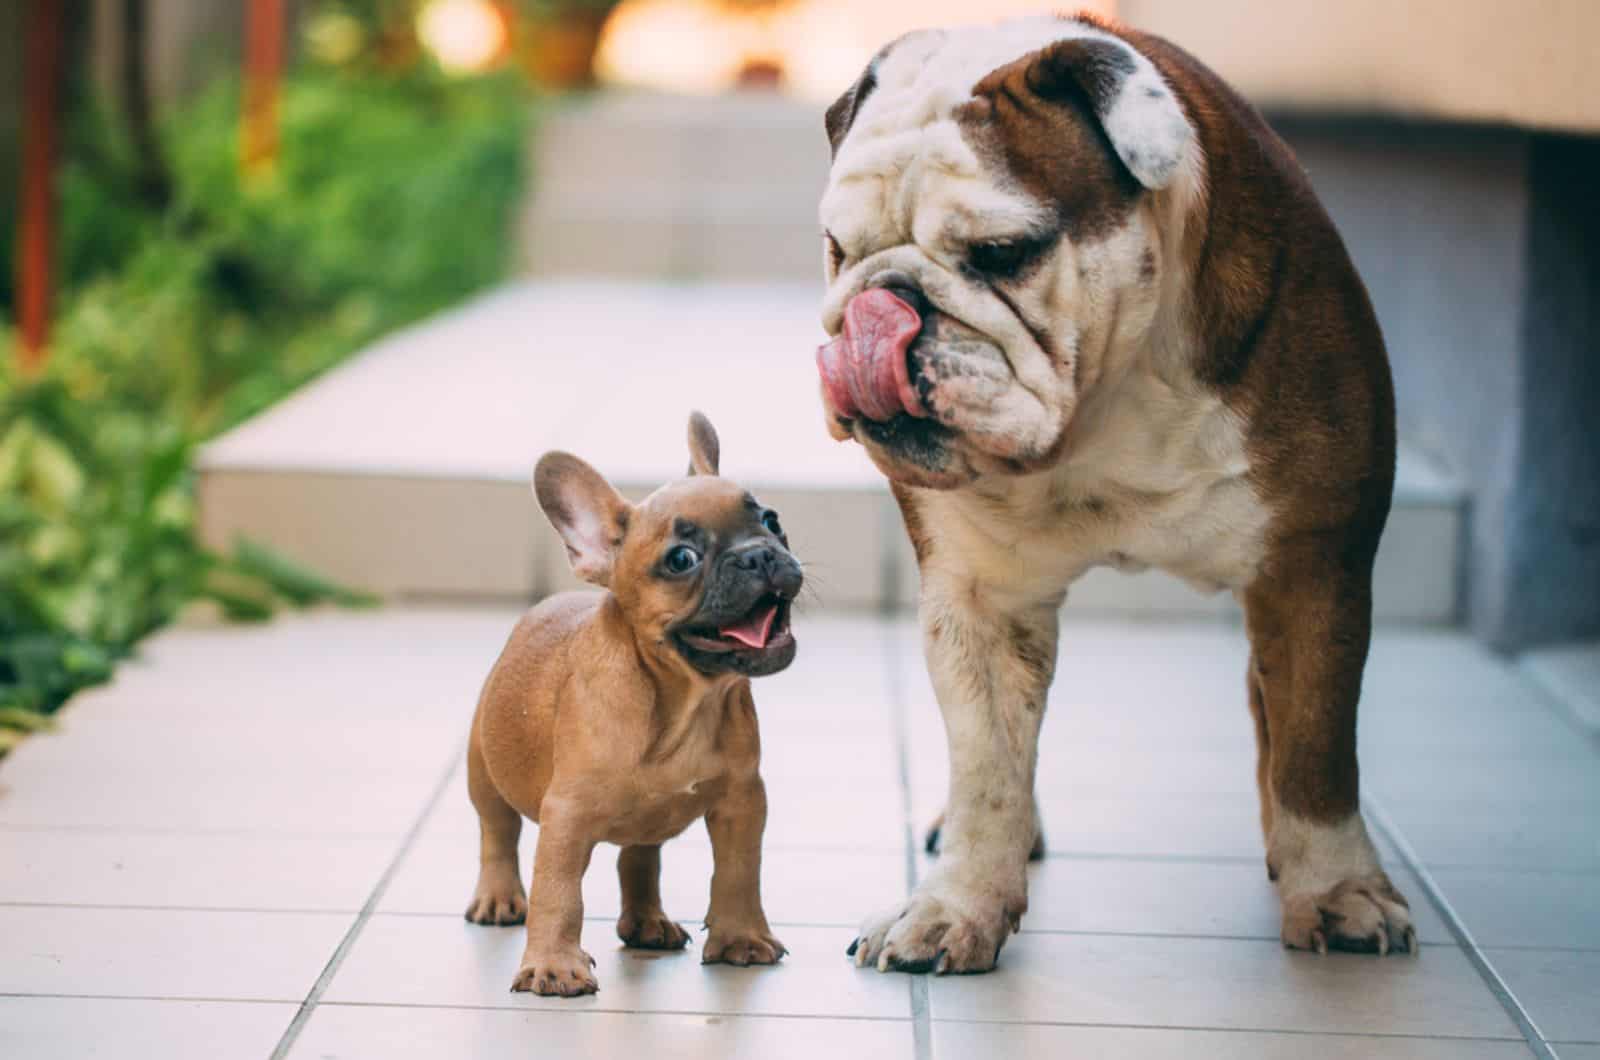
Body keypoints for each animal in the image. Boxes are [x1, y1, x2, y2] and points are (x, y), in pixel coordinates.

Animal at [467, 413, 800, 999]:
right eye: (681, 559)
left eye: (771, 519)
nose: (759, 554)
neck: (685, 701)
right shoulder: (567, 815)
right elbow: (558, 892)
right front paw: (554, 965)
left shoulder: (742, 801)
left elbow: (739, 871)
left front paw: (740, 937)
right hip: (483, 768)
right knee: (498, 833)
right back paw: (498, 896)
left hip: (647, 820)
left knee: (640, 859)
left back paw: (648, 923)